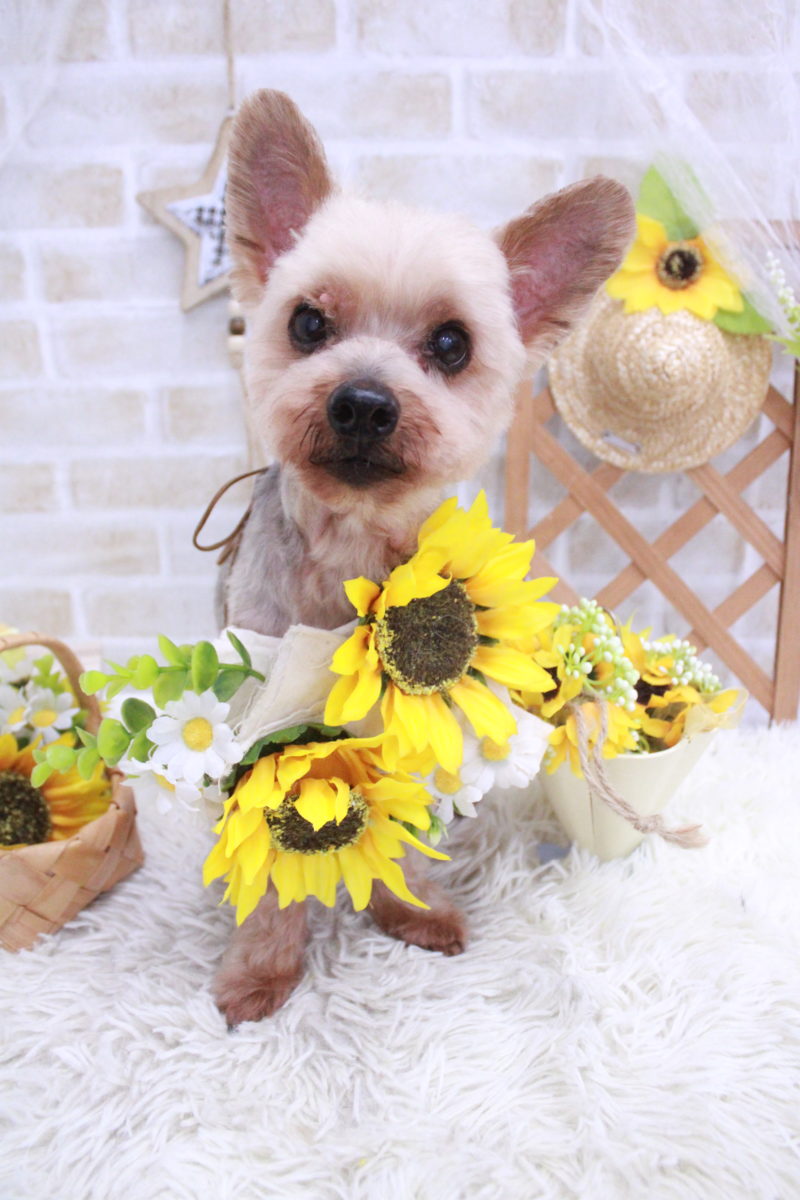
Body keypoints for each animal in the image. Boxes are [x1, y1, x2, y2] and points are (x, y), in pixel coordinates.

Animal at [211, 89, 634, 1025]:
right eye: (307, 322)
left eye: (450, 344)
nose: (364, 403)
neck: (350, 554)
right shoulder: (265, 726)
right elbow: (270, 871)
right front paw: (260, 973)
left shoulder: (414, 735)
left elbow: (402, 842)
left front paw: (411, 912)